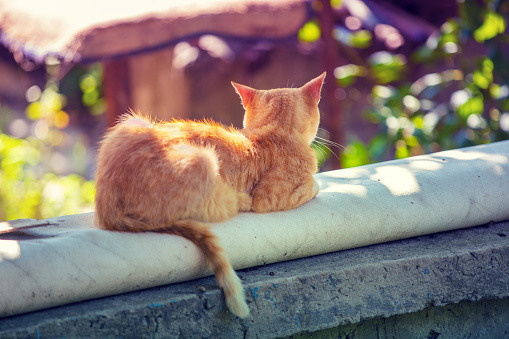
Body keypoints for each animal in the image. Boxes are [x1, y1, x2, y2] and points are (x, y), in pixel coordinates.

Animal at [94, 71, 326, 318]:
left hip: (134, 122)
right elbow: (314, 185)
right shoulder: (271, 196)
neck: (275, 130)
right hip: (203, 160)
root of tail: (106, 210)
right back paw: (239, 200)